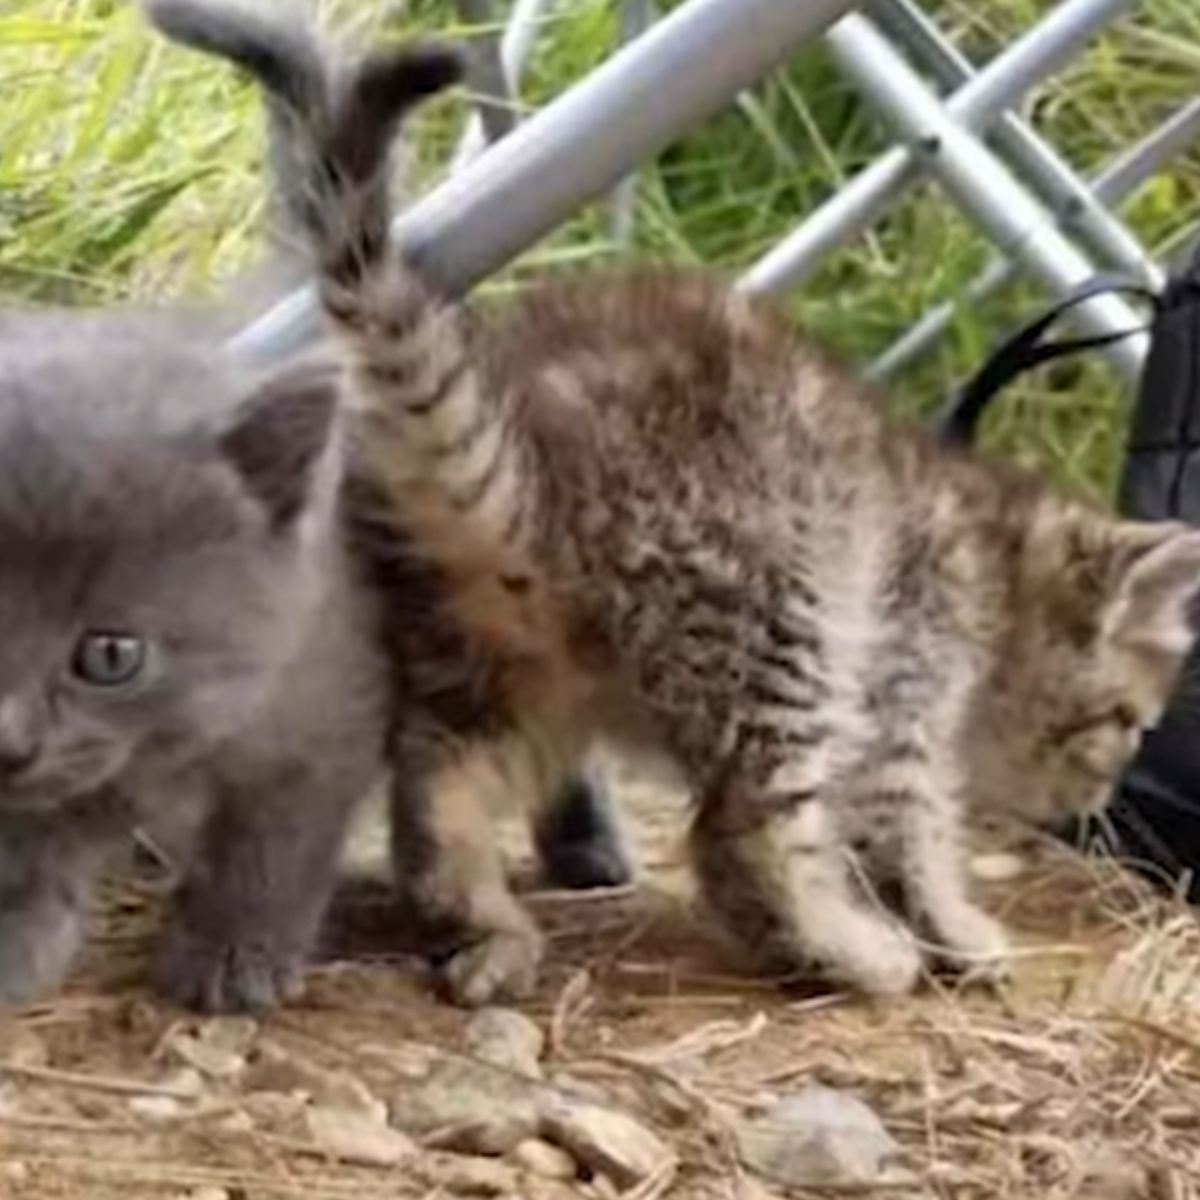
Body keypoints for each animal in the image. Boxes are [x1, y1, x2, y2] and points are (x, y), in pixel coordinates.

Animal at [164, 4, 1200, 1003]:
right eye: (1127, 722)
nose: (1098, 799)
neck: (992, 548)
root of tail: (539, 464)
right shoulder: (904, 675)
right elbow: (909, 829)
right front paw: (952, 926)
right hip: (775, 608)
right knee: (742, 834)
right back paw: (846, 949)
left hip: (511, 661)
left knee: (439, 783)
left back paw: (484, 924)